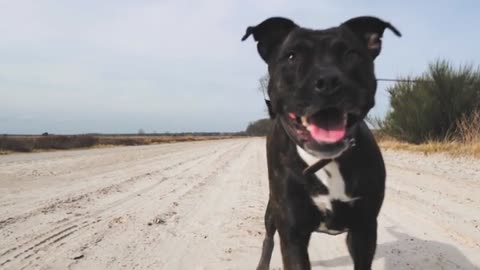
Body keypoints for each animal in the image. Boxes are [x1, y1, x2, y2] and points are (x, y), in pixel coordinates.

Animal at [242, 15, 400, 268]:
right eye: (292, 56)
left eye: (351, 54)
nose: (327, 81)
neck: (327, 162)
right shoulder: (292, 232)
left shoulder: (365, 229)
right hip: (271, 211)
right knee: (268, 237)